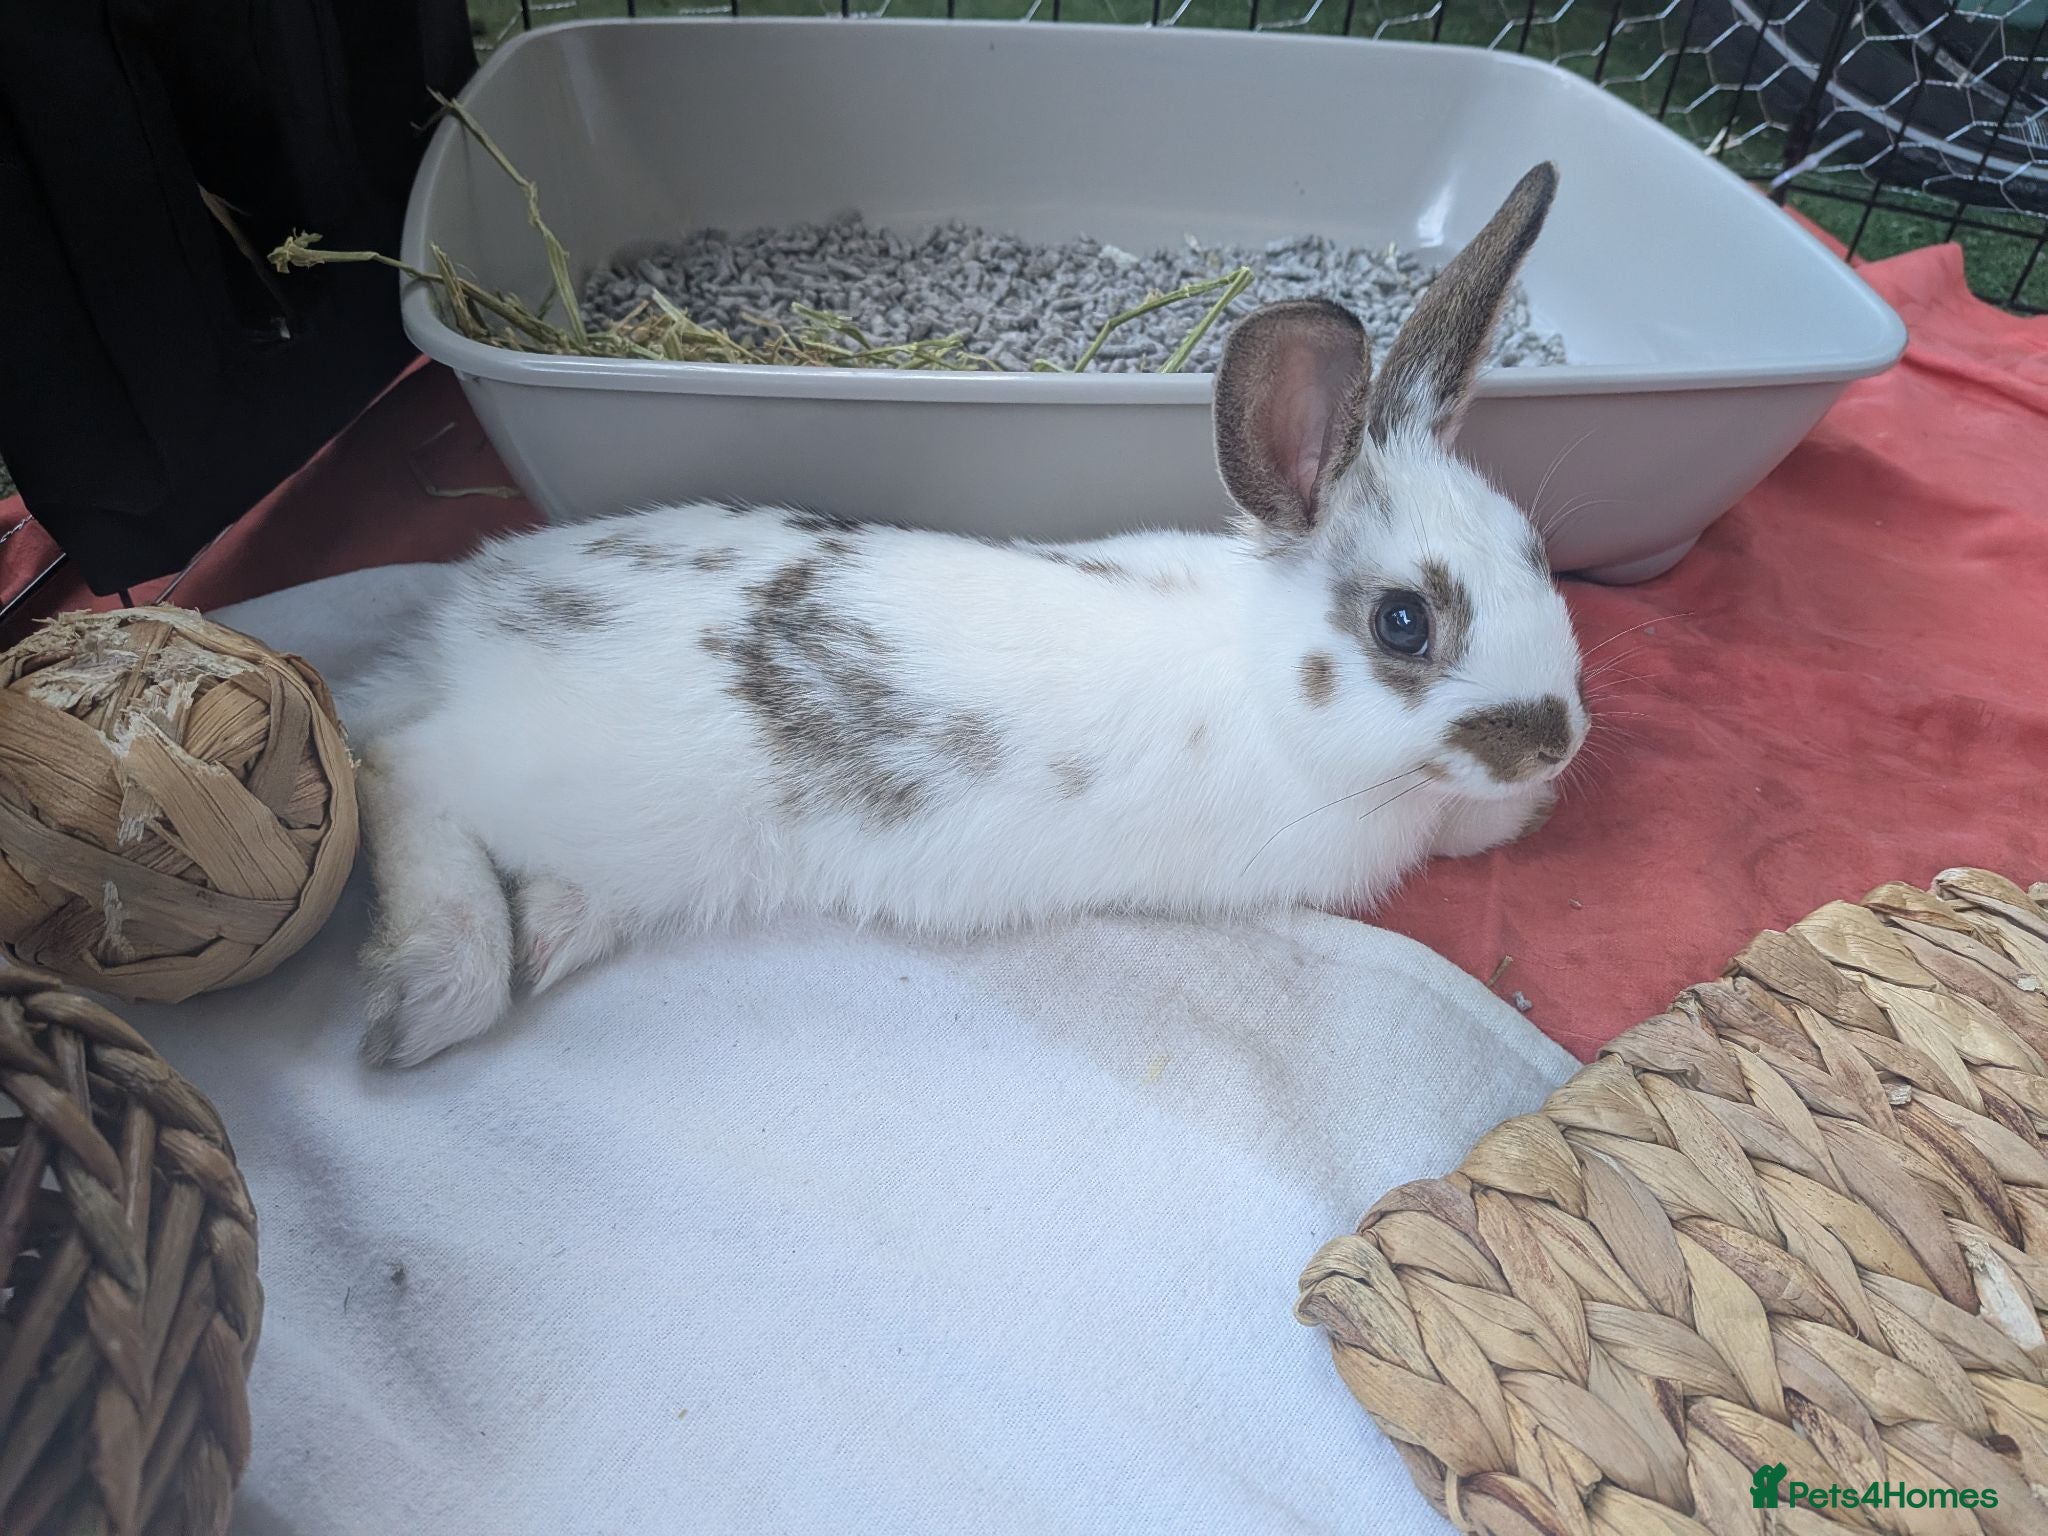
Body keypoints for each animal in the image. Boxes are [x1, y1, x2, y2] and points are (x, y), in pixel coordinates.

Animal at [354, 162, 1586, 1068]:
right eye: (1402, 625)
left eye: (1536, 555)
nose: (1556, 742)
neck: (1264, 677)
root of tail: (460, 628)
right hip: (553, 781)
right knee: (397, 767)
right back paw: (438, 984)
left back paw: (541, 940)